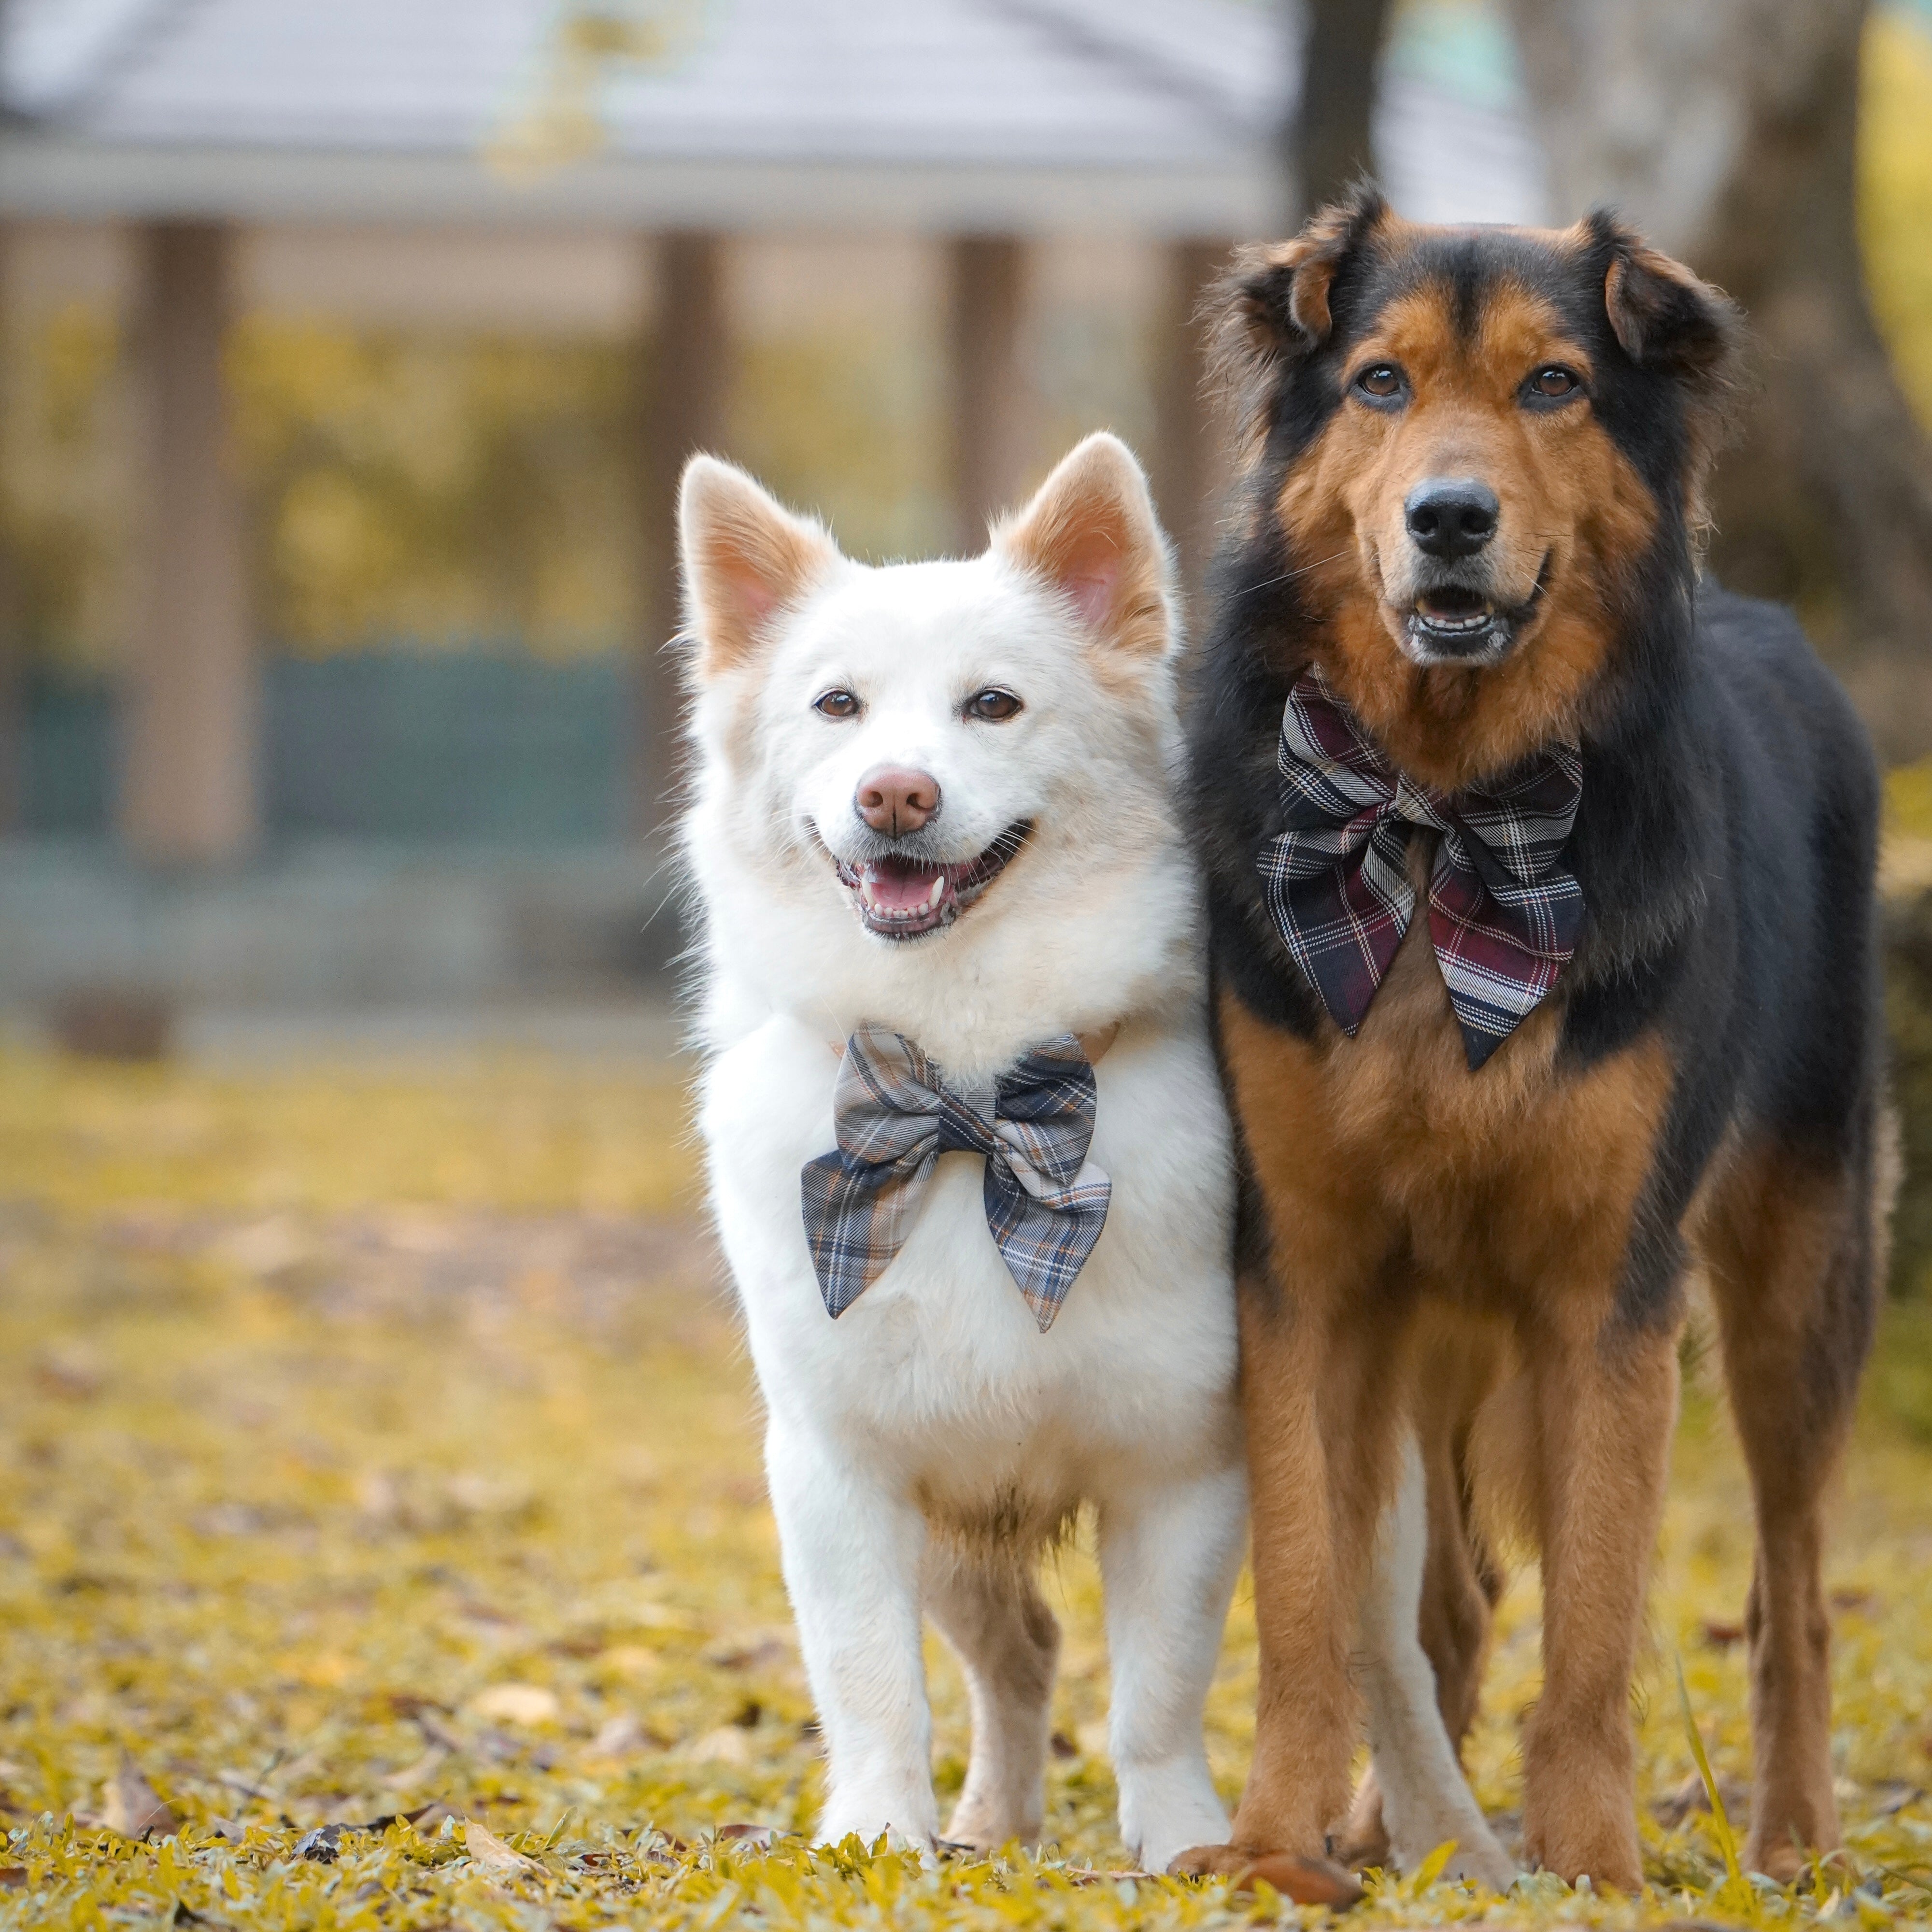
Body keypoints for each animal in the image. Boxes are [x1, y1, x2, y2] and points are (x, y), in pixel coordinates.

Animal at [676, 427, 1507, 1886]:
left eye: (993, 707)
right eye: (836, 708)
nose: (896, 793)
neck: (970, 1095)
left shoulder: (1187, 1471)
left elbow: (1156, 1698)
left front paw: (1182, 1842)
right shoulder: (842, 1473)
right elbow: (872, 1684)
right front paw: (880, 1830)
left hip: (1363, 1494)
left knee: (1396, 1667)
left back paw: (1440, 1840)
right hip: (957, 1543)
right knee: (1018, 1661)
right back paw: (990, 1821)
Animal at [1175, 192, 1886, 1886]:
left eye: (1554, 386)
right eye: (1378, 383)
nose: (1449, 516)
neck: (1443, 816)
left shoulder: (1606, 1293)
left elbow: (1597, 1626)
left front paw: (1592, 1867)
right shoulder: (1307, 1275)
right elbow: (1308, 1599)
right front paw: (1277, 1841)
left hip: (1797, 1287)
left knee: (1793, 1594)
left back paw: (1792, 1840)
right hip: (1434, 1325)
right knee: (1448, 1606)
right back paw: (1394, 1829)